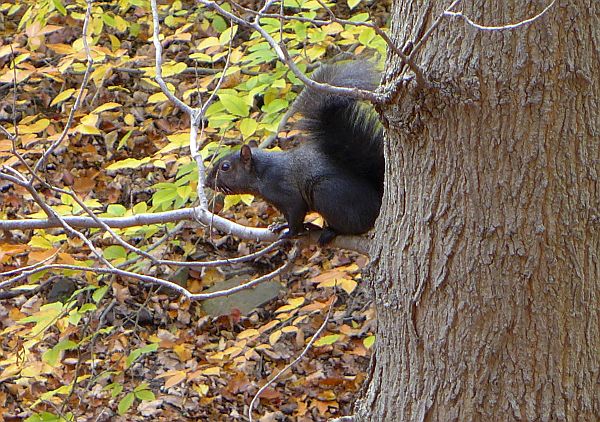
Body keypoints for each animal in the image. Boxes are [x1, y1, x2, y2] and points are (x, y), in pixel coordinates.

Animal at [207, 60, 384, 242]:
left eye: (225, 167)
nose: (207, 182)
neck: (262, 172)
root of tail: (377, 201)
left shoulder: (286, 193)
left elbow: (295, 215)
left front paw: (289, 232)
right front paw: (280, 225)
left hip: (326, 193)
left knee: (354, 227)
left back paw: (330, 231)